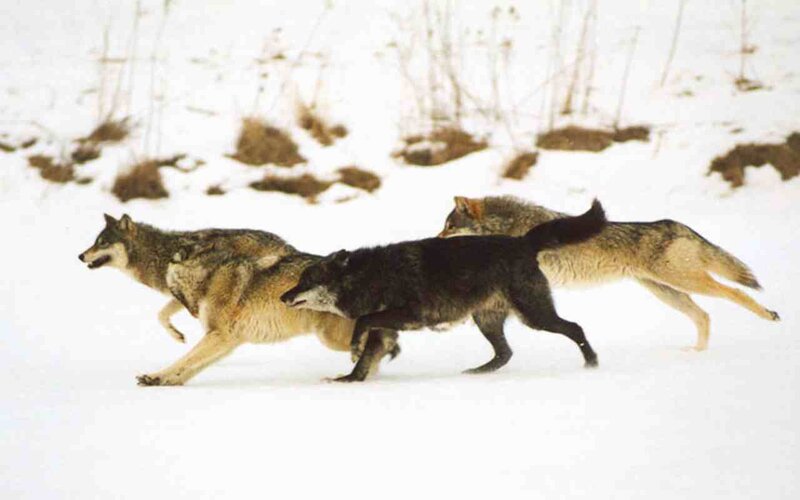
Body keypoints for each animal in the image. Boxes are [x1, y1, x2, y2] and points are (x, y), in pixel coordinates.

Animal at [78, 214, 397, 385]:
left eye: (101, 242)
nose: (80, 255)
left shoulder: (219, 335)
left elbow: (184, 358)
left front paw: (158, 376)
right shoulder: (227, 340)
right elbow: (190, 363)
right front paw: (167, 381)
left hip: (331, 337)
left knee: (382, 343)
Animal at [281, 201, 607, 380]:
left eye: (307, 281)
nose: (283, 297)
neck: (371, 275)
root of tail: (523, 242)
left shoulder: (407, 316)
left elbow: (362, 324)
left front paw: (353, 349)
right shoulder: (385, 329)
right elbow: (366, 359)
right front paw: (349, 380)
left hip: (534, 316)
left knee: (575, 328)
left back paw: (592, 364)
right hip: (486, 320)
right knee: (505, 353)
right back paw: (476, 373)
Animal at [438, 196, 780, 351]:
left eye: (449, 227)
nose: (434, 239)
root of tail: (675, 224)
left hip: (684, 281)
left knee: (734, 292)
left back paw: (769, 315)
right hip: (666, 291)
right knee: (704, 315)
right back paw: (695, 353)